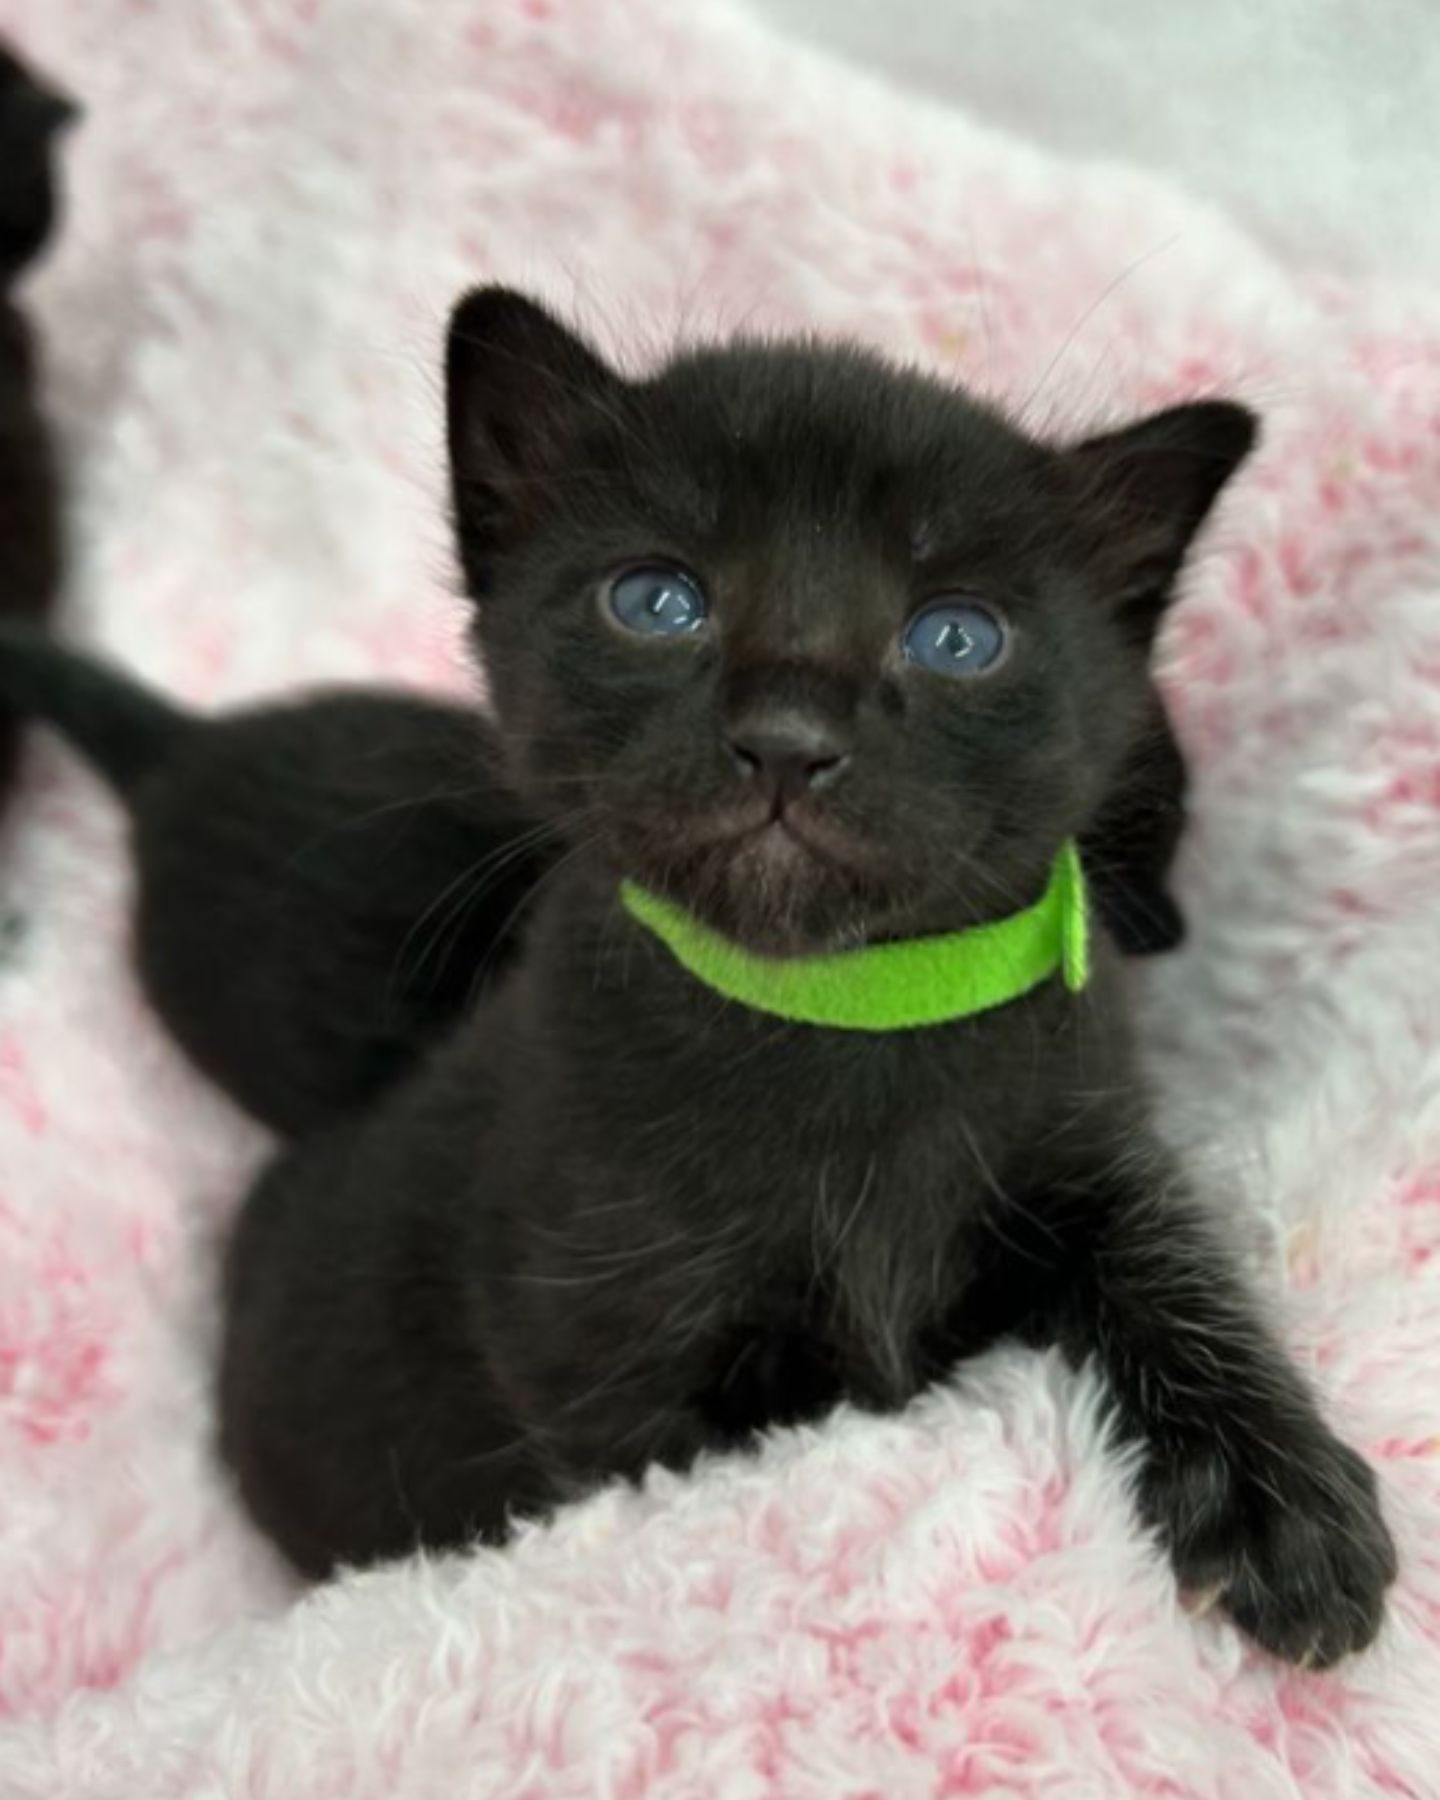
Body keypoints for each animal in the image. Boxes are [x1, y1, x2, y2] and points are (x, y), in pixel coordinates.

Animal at [0, 288, 1396, 1663]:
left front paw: (1283, 1508)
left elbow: (1173, 1271)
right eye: (658, 602)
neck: (841, 1010)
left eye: (958, 635)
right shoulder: (608, 1359)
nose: (787, 738)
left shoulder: (1096, 1148)